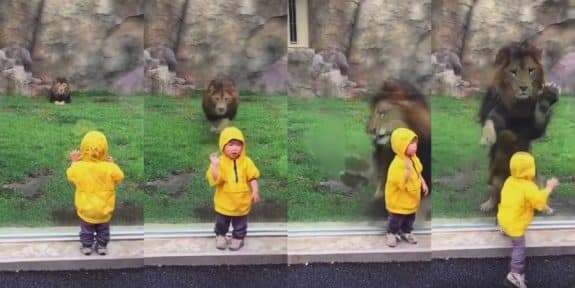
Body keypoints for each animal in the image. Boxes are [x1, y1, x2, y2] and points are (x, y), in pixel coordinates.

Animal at [480, 41, 560, 210]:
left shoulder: (531, 129)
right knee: (494, 193)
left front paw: (546, 100)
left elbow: (537, 121)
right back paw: (488, 205)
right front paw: (487, 137)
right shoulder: (498, 109)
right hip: (493, 177)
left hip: (536, 178)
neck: (518, 103)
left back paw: (546, 208)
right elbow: (491, 119)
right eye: (513, 72)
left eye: (531, 70)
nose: (523, 88)